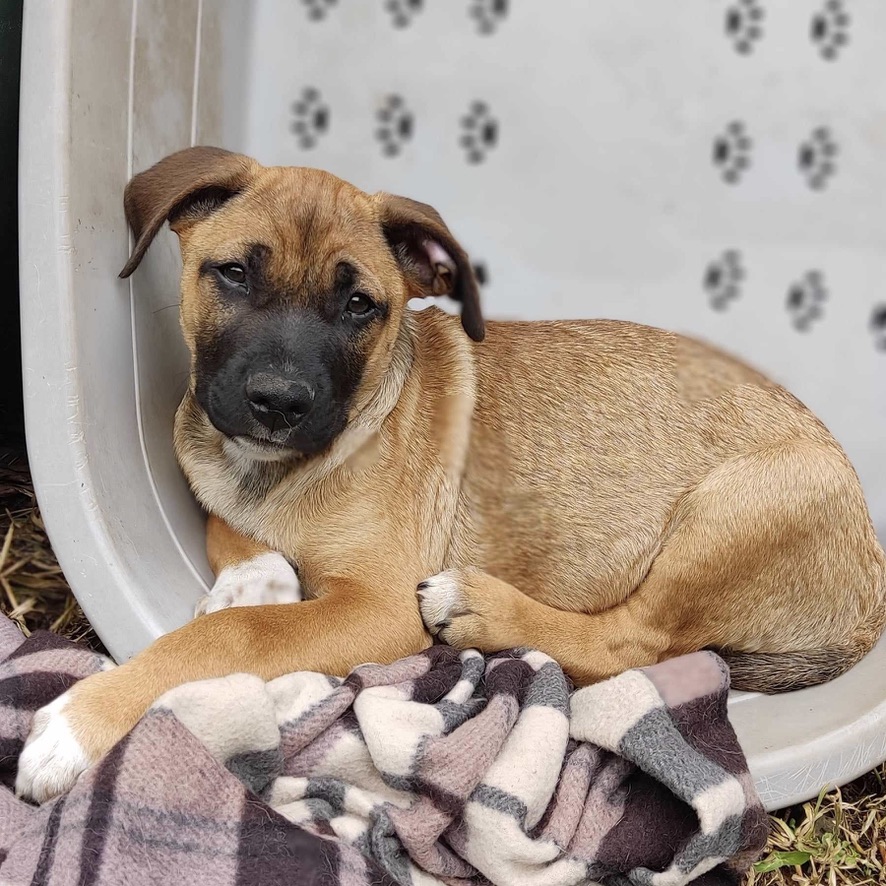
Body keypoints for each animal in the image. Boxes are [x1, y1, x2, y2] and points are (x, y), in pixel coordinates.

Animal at [15, 147, 886, 804]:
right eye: (232, 274)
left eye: (360, 305)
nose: (278, 404)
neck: (287, 466)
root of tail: (870, 590)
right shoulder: (217, 471)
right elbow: (231, 532)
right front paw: (253, 578)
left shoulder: (376, 607)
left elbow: (229, 635)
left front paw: (75, 725)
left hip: (740, 502)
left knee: (635, 642)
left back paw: (480, 607)